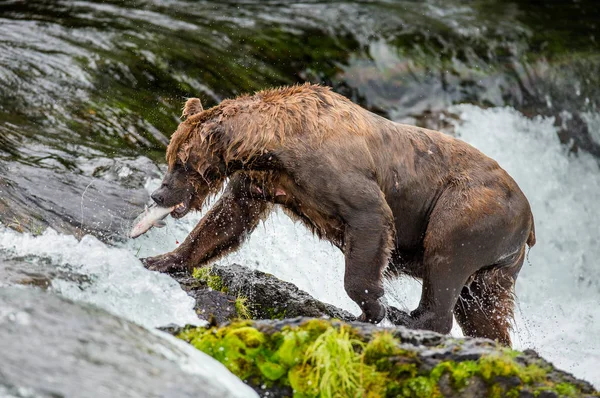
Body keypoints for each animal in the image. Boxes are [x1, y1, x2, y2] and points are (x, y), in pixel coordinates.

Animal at [143, 83, 536, 346]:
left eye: (182, 163)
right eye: (172, 157)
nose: (159, 193)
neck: (272, 146)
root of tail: (529, 216)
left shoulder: (335, 173)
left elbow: (371, 220)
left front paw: (373, 307)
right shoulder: (262, 182)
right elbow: (226, 222)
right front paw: (160, 259)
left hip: (469, 209)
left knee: (445, 259)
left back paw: (410, 317)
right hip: (497, 262)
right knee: (481, 308)